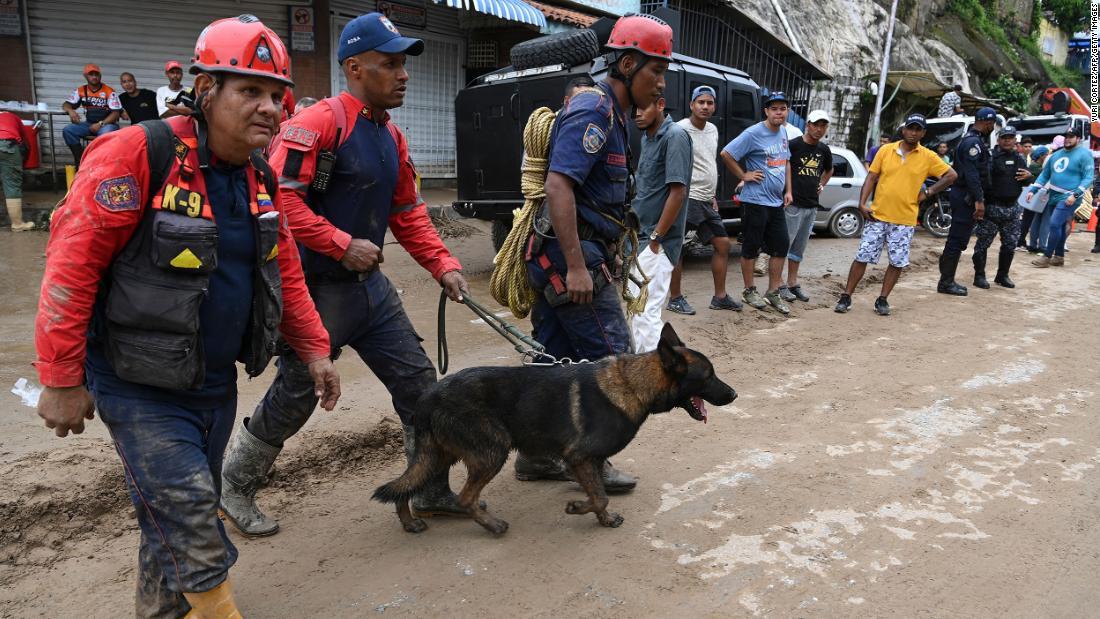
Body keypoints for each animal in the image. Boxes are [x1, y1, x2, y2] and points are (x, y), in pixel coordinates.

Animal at [374, 327, 734, 534]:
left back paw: (409, 521)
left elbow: (598, 493)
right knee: (464, 497)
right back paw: (492, 526)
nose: (733, 395)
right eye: (708, 376)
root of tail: (428, 396)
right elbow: (599, 496)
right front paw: (580, 509)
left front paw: (602, 519)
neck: (633, 385)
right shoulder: (580, 457)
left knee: (407, 485)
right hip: (492, 451)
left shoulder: (586, 461)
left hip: (440, 454)